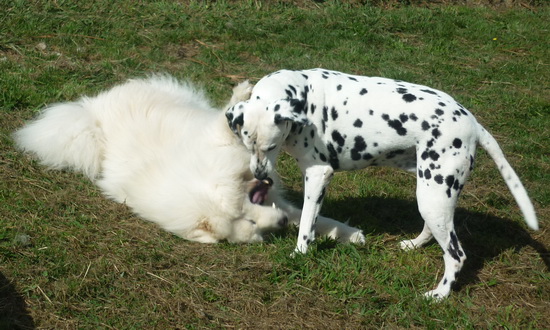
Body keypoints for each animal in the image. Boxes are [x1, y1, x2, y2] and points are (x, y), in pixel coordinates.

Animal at [14, 75, 366, 245]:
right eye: (250, 224)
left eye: (248, 211)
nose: (277, 224)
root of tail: (92, 113)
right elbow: (307, 218)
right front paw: (344, 234)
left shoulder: (221, 144)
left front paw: (348, 233)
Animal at [226, 68, 540, 300]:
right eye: (246, 142)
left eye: (272, 147)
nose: (260, 175)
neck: (302, 95)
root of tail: (473, 123)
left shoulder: (317, 175)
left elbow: (306, 224)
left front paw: (300, 253)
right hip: (432, 196)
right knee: (434, 232)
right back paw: (414, 245)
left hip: (434, 197)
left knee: (456, 255)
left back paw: (439, 294)